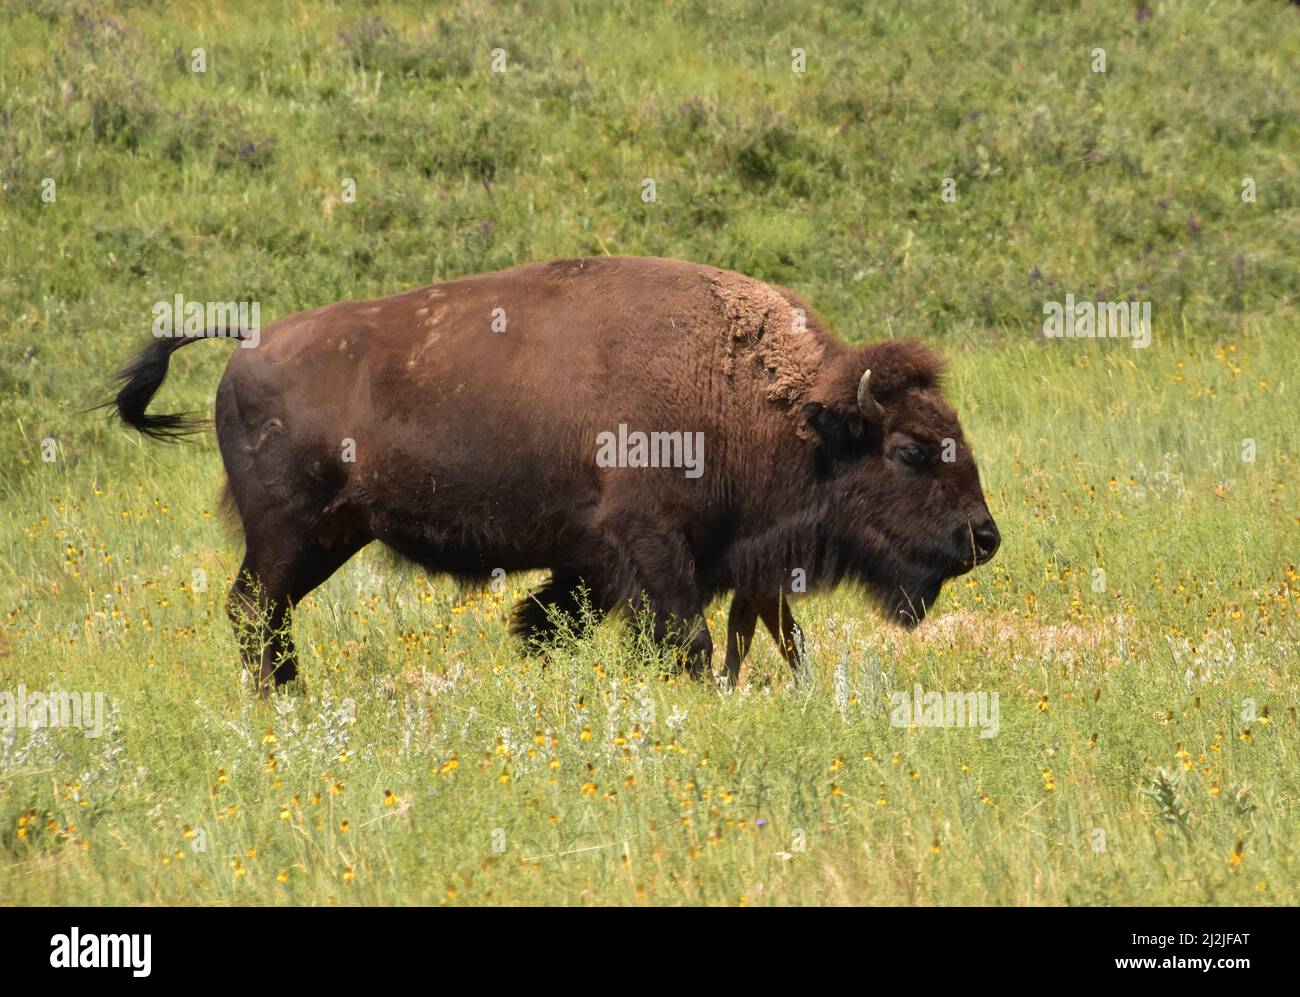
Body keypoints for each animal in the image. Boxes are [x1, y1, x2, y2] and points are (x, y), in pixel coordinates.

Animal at [112, 256, 999, 693]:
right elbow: (688, 639)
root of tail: (247, 343)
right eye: (910, 449)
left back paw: (293, 694)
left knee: (267, 612)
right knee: (252, 609)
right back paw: (282, 698)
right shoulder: (651, 546)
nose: (983, 536)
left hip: (330, 536)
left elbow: (556, 622)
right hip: (288, 532)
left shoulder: (605, 561)